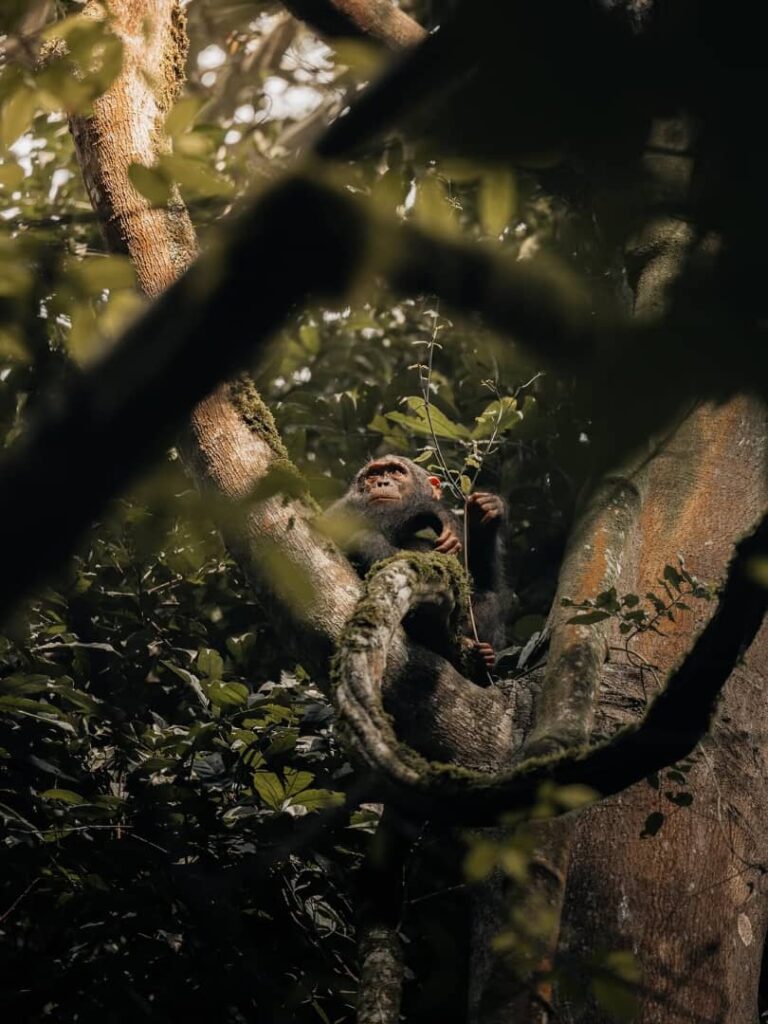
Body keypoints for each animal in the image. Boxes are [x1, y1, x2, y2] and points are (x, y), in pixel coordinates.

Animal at [323, 455, 507, 679]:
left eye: (396, 471)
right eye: (373, 474)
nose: (381, 483)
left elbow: (483, 586)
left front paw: (485, 513)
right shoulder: (345, 507)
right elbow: (334, 524)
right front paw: (432, 508)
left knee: (490, 598)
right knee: (367, 541)